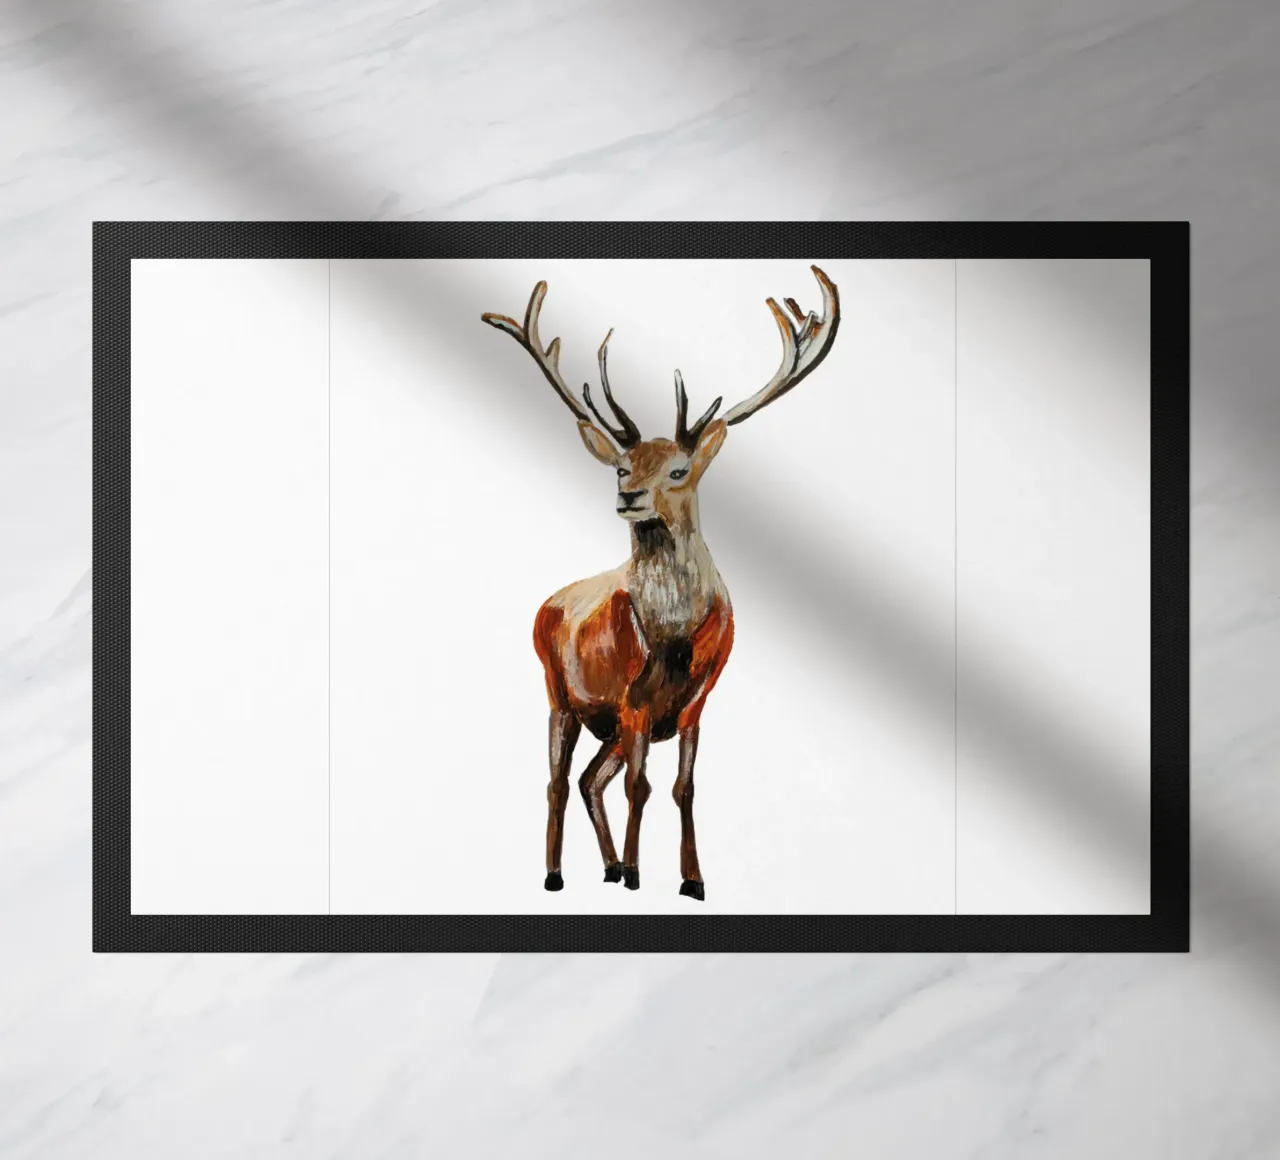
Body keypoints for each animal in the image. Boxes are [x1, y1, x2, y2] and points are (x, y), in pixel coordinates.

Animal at [481, 265, 840, 901]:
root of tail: (547, 603)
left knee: (589, 779)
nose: (628, 496)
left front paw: (691, 879)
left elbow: (682, 787)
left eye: (678, 470)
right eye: (623, 467)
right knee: (559, 780)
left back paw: (601, 866)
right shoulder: (632, 701)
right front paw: (635, 873)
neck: (671, 636)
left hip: (604, 723)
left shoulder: (696, 702)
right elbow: (640, 787)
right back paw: (556, 873)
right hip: (559, 691)